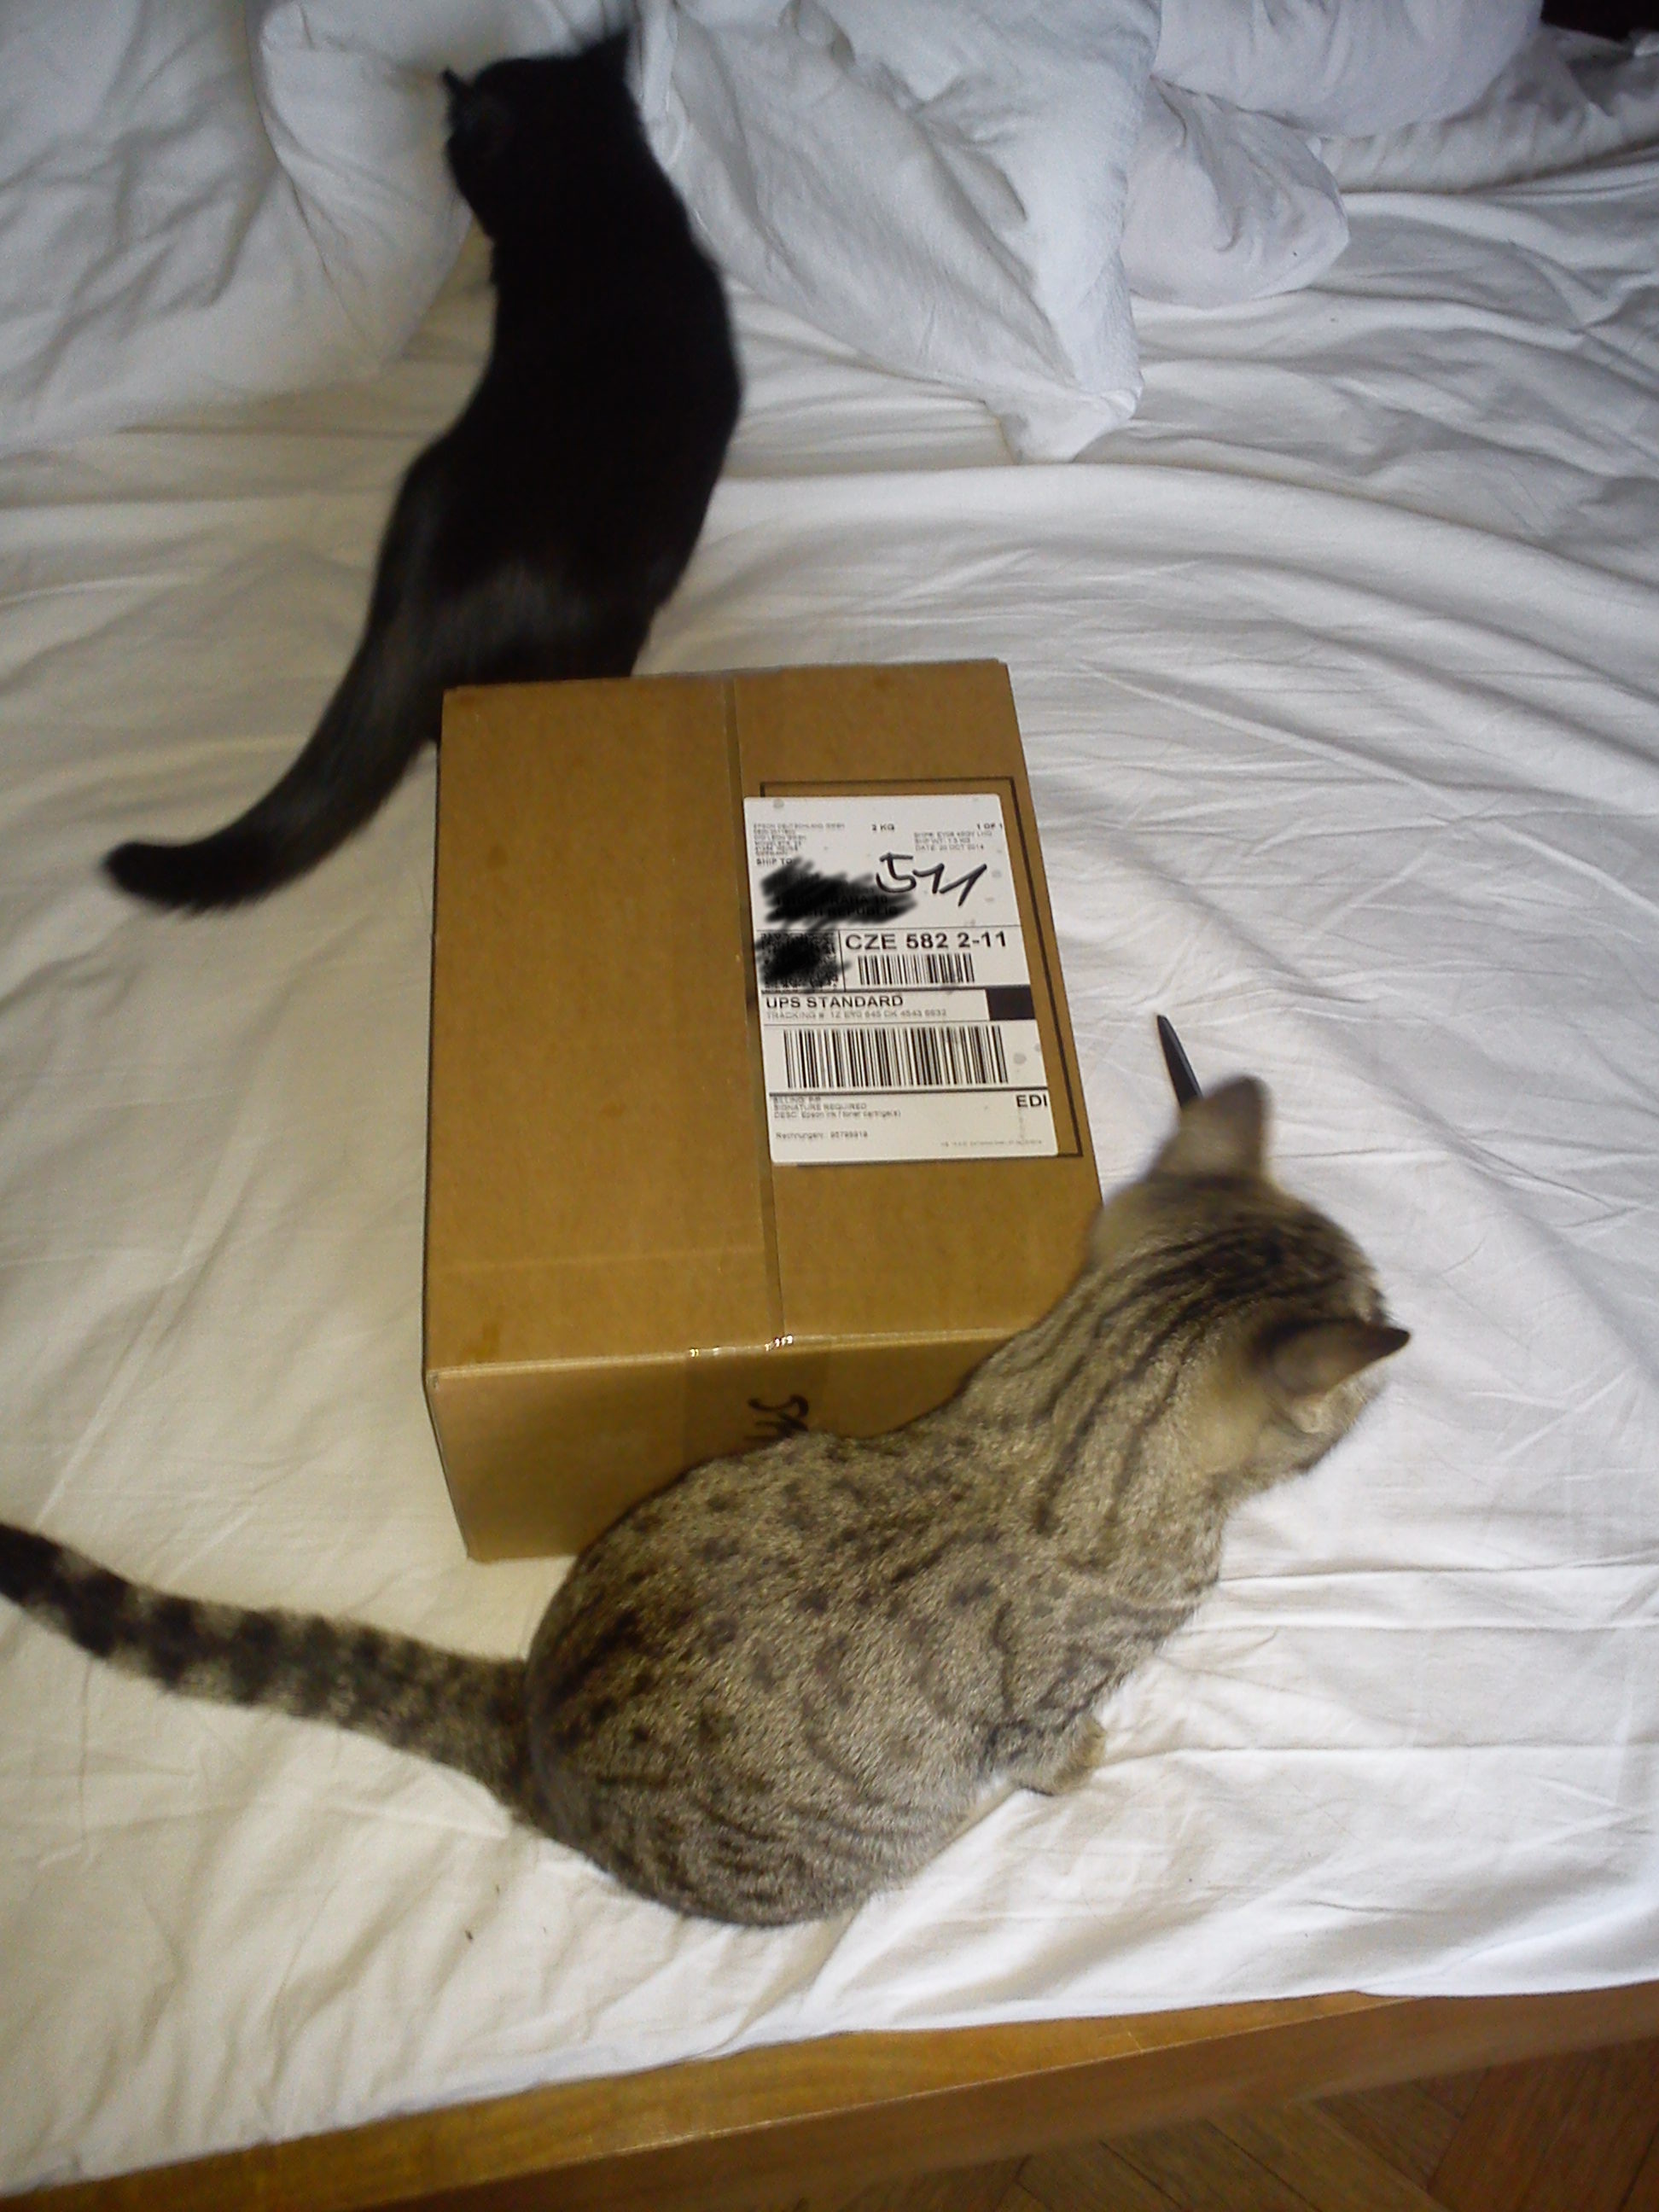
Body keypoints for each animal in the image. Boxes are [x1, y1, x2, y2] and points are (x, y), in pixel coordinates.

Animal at [0, 1078, 1405, 1924]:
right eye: (1379, 1306)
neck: (1064, 1420)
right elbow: (1057, 1753)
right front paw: (1098, 1759)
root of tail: (528, 1716)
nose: (1397, 1320)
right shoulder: (1045, 1706)